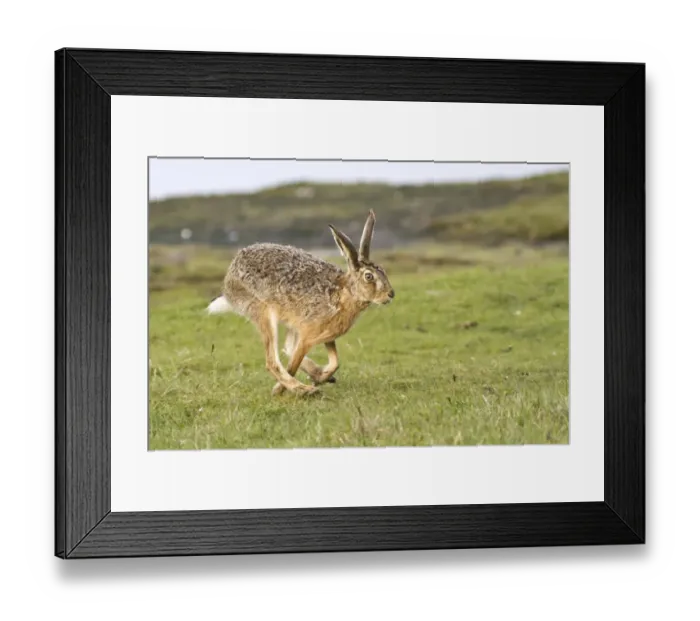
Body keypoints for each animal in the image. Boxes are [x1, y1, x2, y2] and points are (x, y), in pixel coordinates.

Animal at [207, 210, 394, 396]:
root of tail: (229, 279)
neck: (345, 293)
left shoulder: (326, 335)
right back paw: (304, 389)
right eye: (369, 276)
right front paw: (279, 389)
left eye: (383, 271)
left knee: (287, 348)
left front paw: (322, 376)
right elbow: (294, 364)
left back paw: (317, 376)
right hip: (263, 312)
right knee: (272, 361)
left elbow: (335, 362)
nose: (391, 294)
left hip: (290, 321)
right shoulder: (307, 336)